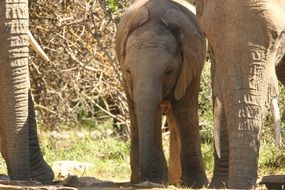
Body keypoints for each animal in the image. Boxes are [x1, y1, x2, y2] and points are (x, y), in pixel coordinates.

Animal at [115, 0, 206, 187]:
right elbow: (145, 111)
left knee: (176, 117)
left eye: (168, 71)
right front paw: (156, 180)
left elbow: (185, 111)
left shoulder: (191, 65)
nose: (145, 181)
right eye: (128, 71)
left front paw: (197, 184)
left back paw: (176, 182)